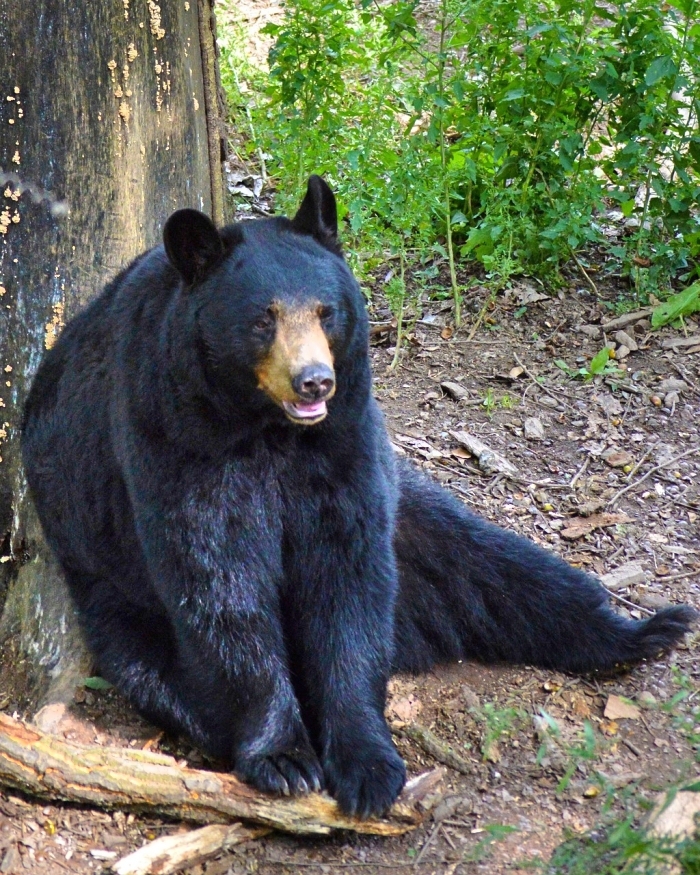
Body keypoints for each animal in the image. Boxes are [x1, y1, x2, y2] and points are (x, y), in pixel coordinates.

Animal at [21, 175, 696, 816]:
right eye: (263, 318)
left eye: (326, 311)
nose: (314, 380)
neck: (267, 429)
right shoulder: (172, 432)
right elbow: (218, 577)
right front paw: (284, 756)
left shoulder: (343, 441)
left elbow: (346, 576)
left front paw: (367, 762)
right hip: (109, 586)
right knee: (159, 669)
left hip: (419, 522)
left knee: (502, 570)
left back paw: (643, 631)